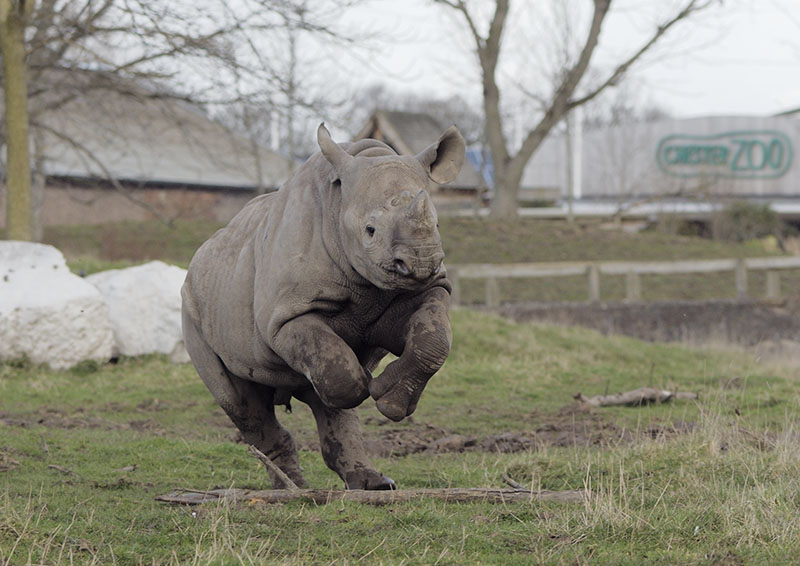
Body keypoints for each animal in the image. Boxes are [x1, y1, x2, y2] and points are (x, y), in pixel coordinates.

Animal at [182, 123, 465, 490]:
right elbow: (339, 371)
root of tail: (199, 256)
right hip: (192, 308)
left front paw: (388, 401)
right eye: (370, 230)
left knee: (325, 389)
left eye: (437, 225)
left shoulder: (426, 289)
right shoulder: (285, 316)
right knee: (243, 404)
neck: (338, 205)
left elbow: (433, 339)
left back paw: (373, 483)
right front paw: (368, 386)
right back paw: (292, 488)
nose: (420, 264)